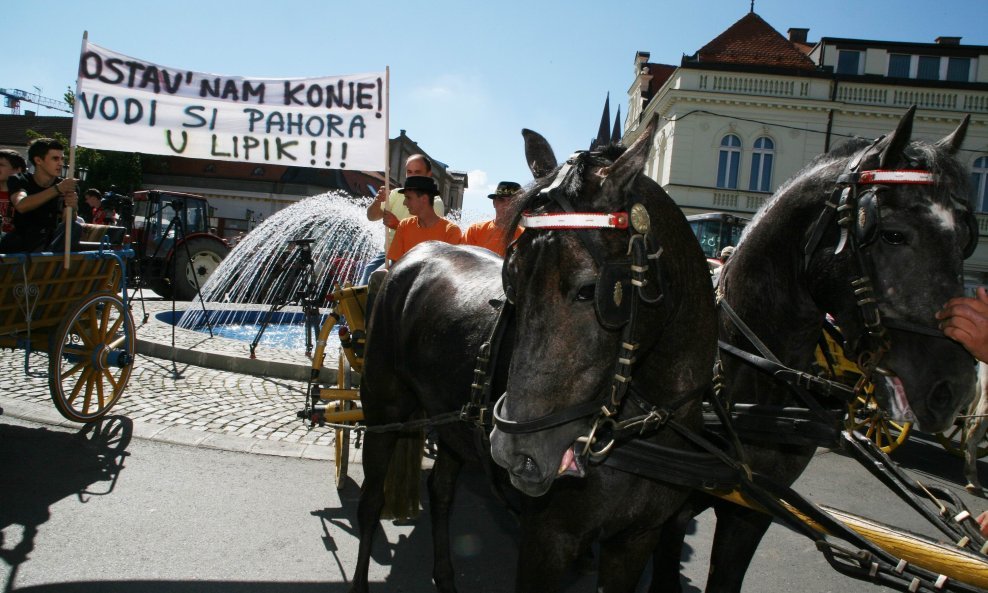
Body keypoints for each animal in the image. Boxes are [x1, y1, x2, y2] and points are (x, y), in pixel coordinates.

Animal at [350, 128, 716, 592]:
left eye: (590, 290)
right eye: (512, 279)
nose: (513, 451)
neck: (648, 425)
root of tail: (412, 258)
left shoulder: (637, 539)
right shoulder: (547, 539)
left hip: (450, 423)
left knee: (442, 490)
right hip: (384, 409)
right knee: (370, 500)